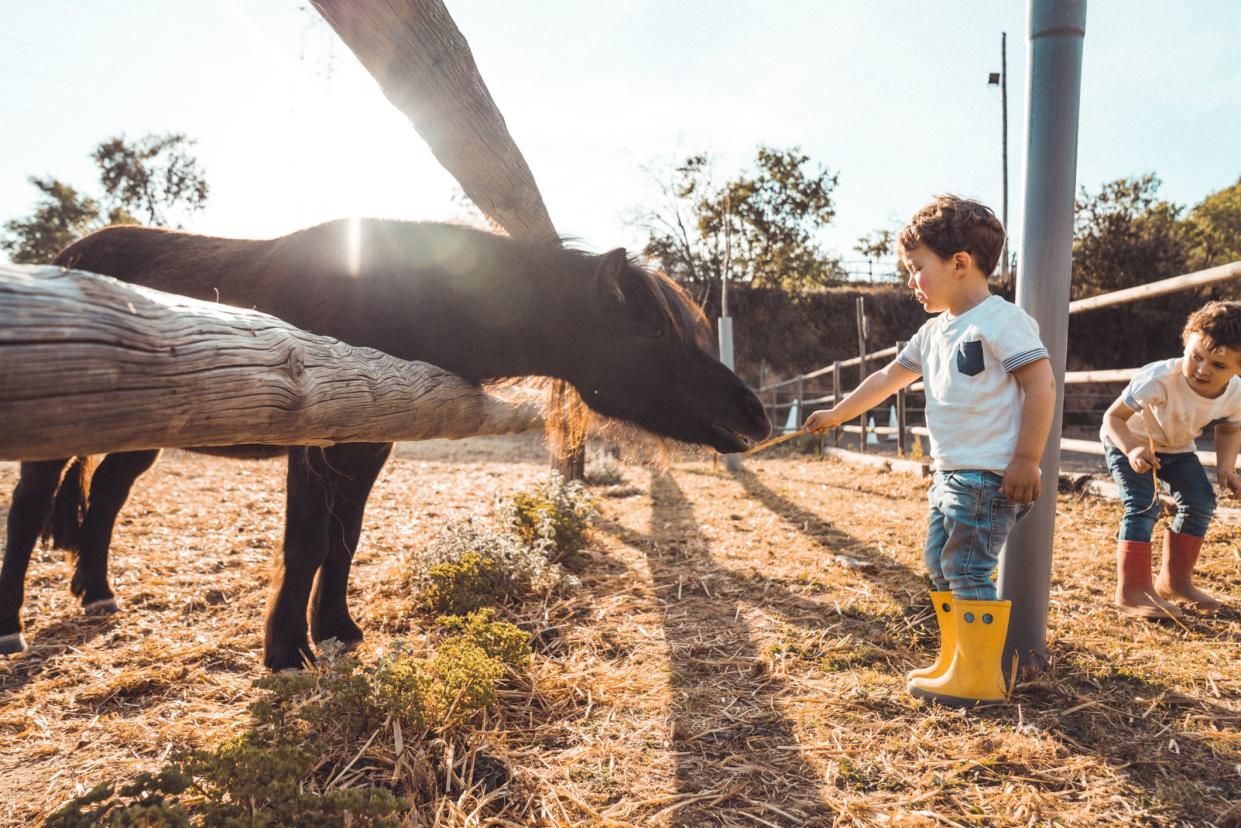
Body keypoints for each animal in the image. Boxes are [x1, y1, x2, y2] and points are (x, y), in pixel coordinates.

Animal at [0, 218, 764, 665]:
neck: (398, 294)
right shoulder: (316, 437)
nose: (753, 414)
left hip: (144, 434)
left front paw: (336, 628)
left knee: (105, 495)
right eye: (656, 330)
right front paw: (286, 651)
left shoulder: (371, 444)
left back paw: (97, 592)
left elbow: (345, 539)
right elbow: (307, 541)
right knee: (32, 507)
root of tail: (70, 255)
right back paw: (12, 626)